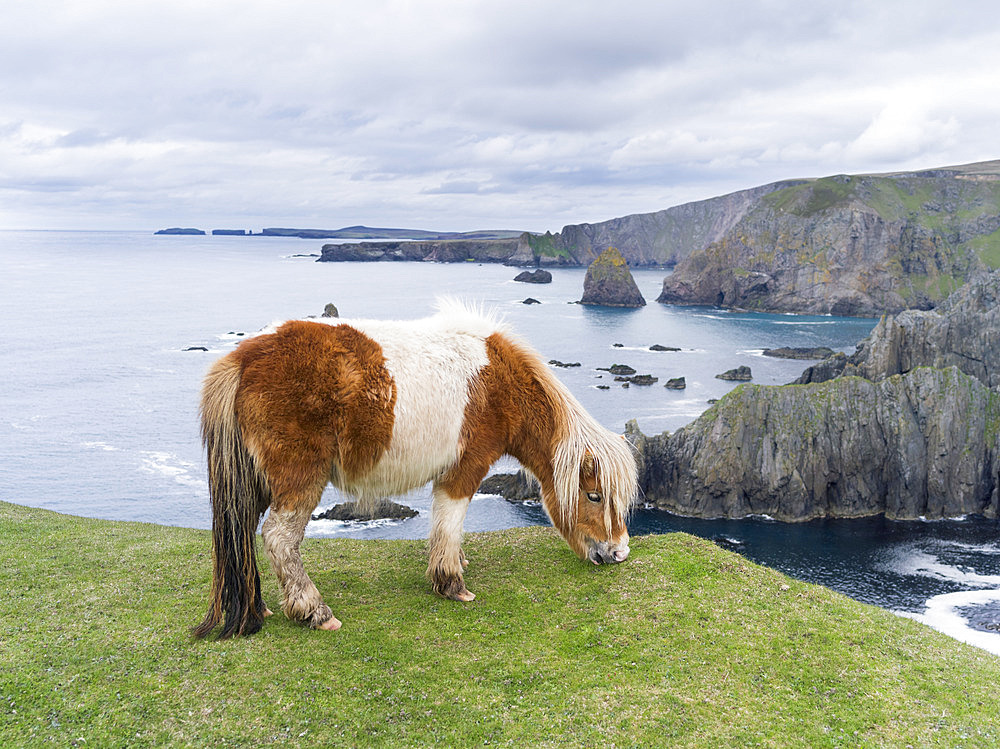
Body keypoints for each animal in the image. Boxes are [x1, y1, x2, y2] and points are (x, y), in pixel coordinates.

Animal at [191, 300, 636, 636]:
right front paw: (451, 583)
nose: (618, 553)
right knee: (279, 539)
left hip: (255, 482)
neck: (498, 385)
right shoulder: (464, 471)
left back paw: (261, 606)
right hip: (300, 478)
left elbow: (445, 526)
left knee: (243, 531)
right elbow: (450, 522)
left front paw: (456, 563)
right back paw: (313, 611)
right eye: (594, 495)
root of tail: (244, 357)